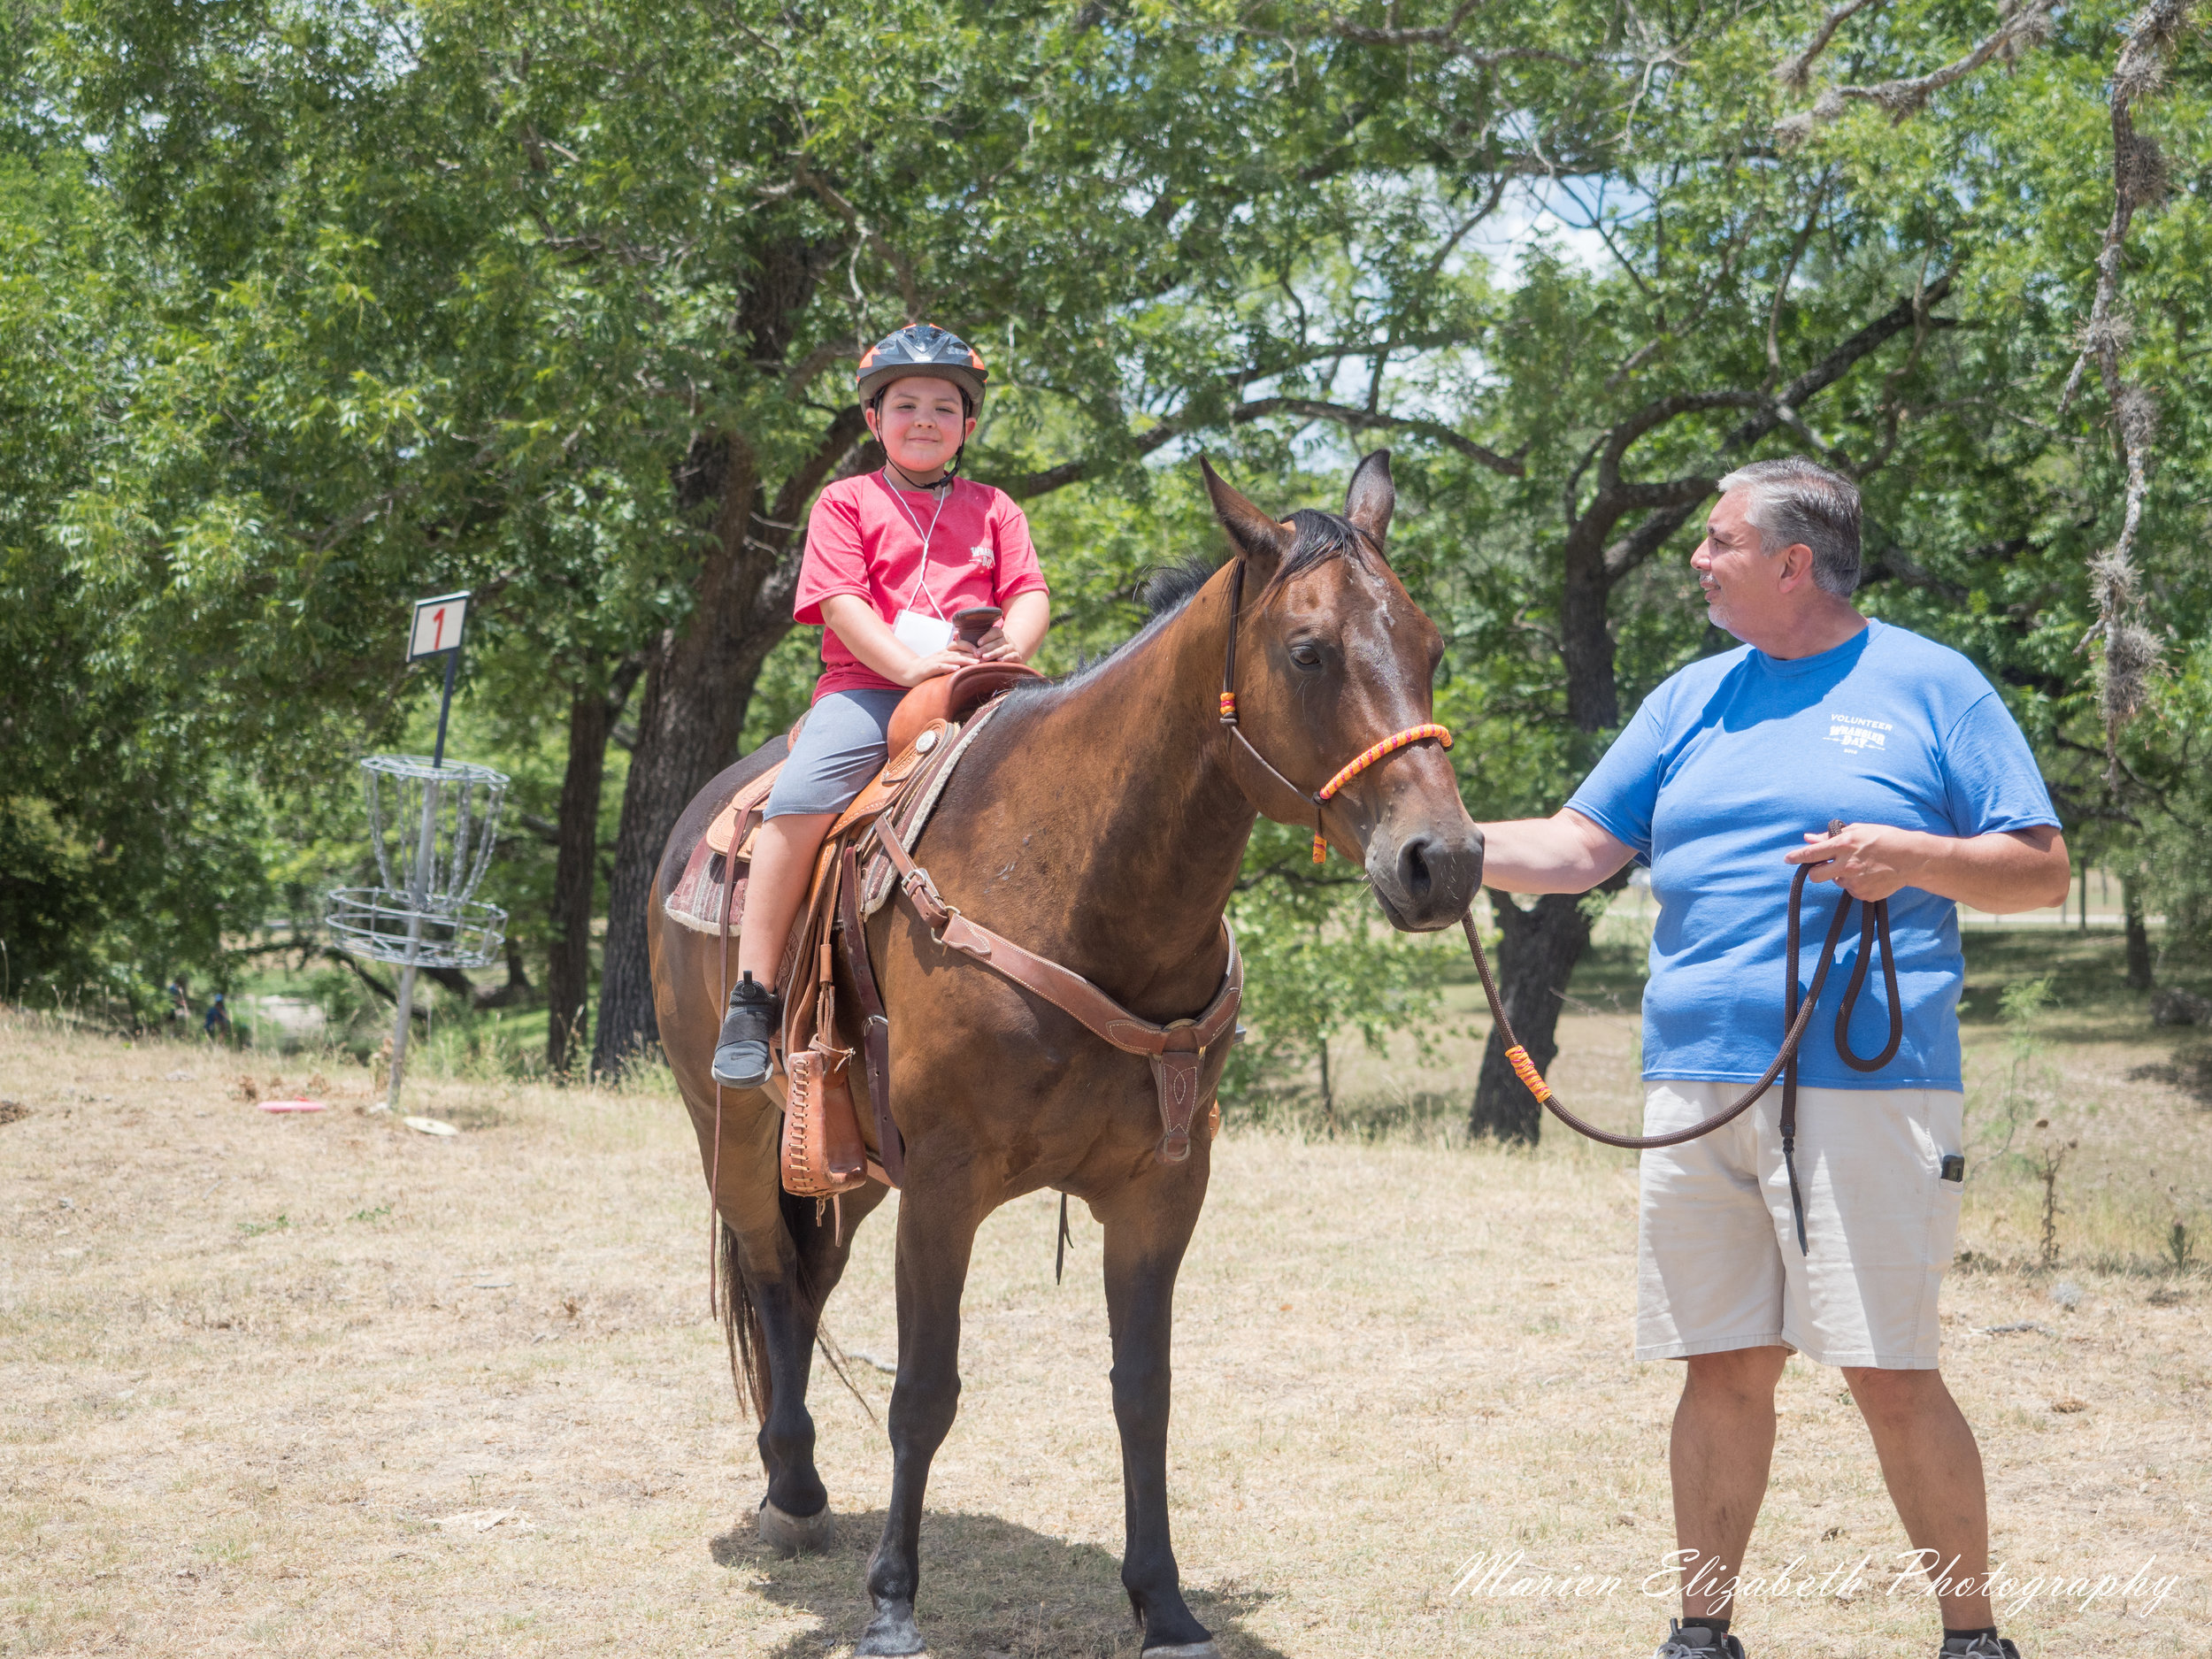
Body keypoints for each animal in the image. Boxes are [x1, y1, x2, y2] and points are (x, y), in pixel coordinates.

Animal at [646, 449, 1478, 1655]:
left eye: (1430, 646)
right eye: (1307, 651)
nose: (1443, 861)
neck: (1077, 884)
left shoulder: (1162, 1186)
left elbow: (1144, 1390)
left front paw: (1163, 1602)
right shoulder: (945, 1185)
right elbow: (924, 1391)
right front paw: (893, 1605)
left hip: (843, 1163)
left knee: (807, 1280)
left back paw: (792, 1488)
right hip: (741, 1134)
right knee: (768, 1274)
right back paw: (792, 1496)